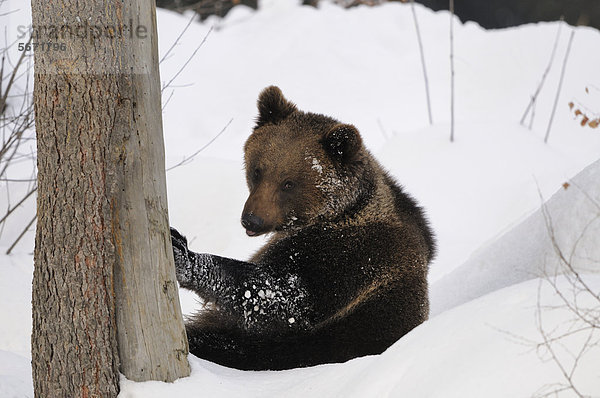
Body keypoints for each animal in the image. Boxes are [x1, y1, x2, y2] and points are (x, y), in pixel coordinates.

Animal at [170, 86, 436, 370]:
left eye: (288, 183)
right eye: (257, 170)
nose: (251, 220)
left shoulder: (350, 258)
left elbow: (281, 298)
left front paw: (184, 255)